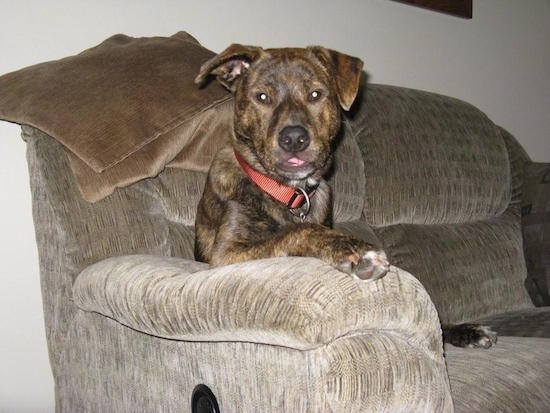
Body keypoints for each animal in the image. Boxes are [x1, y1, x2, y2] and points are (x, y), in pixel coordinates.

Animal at [194, 44, 392, 280]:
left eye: (315, 94)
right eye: (262, 97)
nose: (294, 138)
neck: (290, 191)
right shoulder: (226, 254)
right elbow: (297, 230)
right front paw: (355, 249)